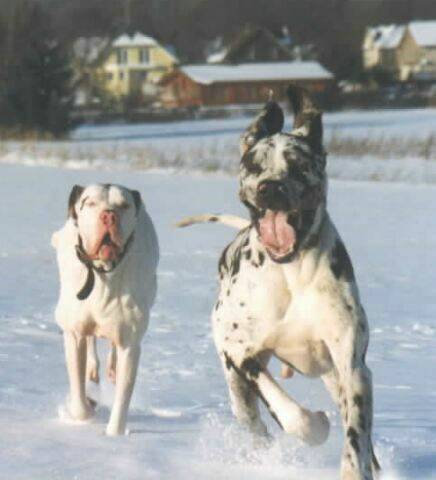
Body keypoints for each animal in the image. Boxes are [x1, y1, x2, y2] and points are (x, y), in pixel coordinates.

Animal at [51, 183, 158, 436]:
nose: (109, 215)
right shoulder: (73, 334)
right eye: (89, 203)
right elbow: (79, 398)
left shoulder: (130, 343)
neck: (104, 272)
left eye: (124, 205)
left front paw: (114, 435)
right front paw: (87, 407)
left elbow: (122, 396)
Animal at [179, 87, 380, 480]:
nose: (270, 188)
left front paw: (353, 466)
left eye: (299, 164)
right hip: (236, 388)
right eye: (255, 165)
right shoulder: (239, 351)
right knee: (255, 422)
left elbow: (357, 435)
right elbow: (288, 411)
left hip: (335, 377)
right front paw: (313, 427)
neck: (291, 274)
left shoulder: (353, 366)